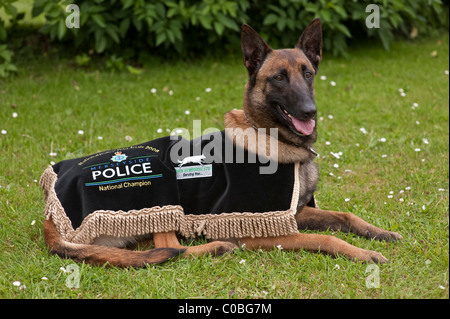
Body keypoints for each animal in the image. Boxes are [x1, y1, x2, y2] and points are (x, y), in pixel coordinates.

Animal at [43, 18, 400, 268]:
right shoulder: (258, 228)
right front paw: (363, 253)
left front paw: (380, 232)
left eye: (308, 73)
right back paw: (215, 247)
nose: (310, 112)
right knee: (172, 247)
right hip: (161, 199)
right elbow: (325, 238)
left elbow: (345, 216)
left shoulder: (292, 212)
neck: (269, 137)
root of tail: (50, 210)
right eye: (279, 78)